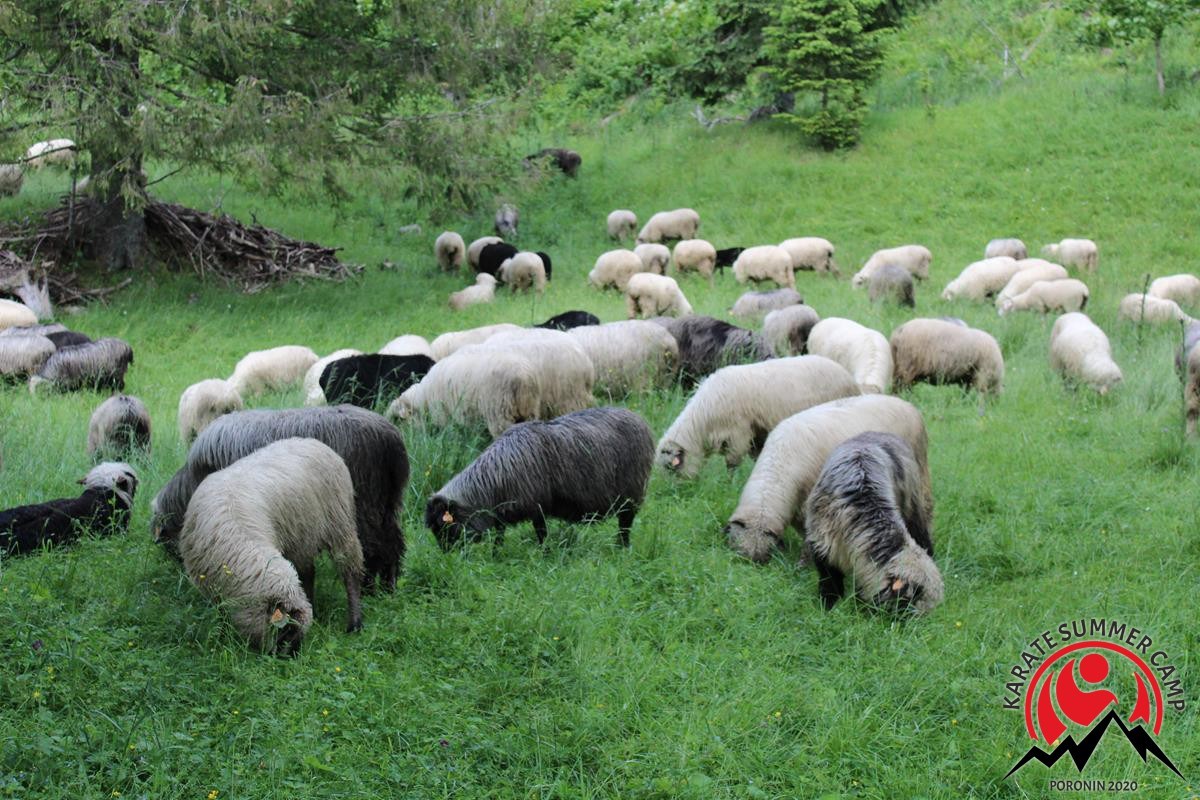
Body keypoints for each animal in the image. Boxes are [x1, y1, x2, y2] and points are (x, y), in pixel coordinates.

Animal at [151, 405, 410, 592]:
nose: (184, 575)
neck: (192, 480)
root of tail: (391, 439)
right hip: (388, 502)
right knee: (394, 543)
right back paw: (389, 588)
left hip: (366, 501)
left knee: (374, 546)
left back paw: (369, 589)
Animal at [177, 438, 363, 656]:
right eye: (286, 629)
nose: (291, 657)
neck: (242, 539)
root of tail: (312, 440)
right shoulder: (213, 586)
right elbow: (220, 611)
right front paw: (222, 634)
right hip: (302, 537)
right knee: (308, 572)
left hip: (340, 523)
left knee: (350, 573)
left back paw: (355, 623)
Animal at [388, 349, 541, 437]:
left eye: (399, 419)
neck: (422, 398)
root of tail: (523, 377)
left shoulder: (443, 416)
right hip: (530, 410)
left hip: (500, 413)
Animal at [425, 407, 653, 549]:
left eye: (444, 525)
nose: (447, 555)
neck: (491, 481)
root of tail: (638, 418)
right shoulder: (501, 513)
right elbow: (499, 537)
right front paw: (496, 555)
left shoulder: (537, 505)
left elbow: (541, 533)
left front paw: (543, 553)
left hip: (632, 492)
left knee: (625, 524)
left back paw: (621, 547)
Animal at [657, 355, 861, 478]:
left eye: (672, 468)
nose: (677, 492)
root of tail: (846, 375)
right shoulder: (756, 432)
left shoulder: (738, 433)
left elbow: (732, 463)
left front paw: (730, 482)